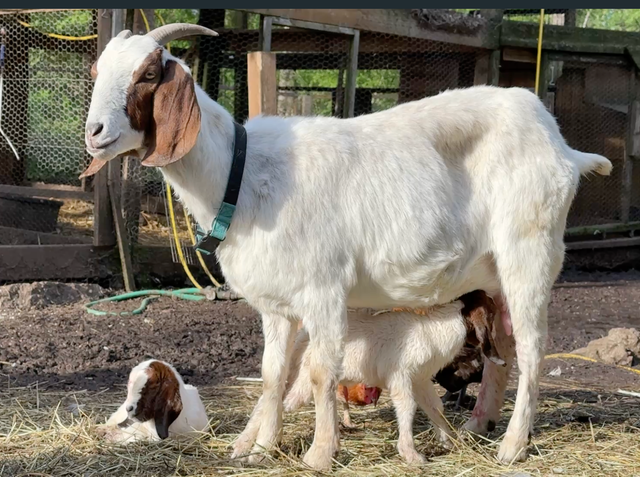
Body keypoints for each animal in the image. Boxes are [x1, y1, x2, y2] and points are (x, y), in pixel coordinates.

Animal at [81, 24, 612, 470]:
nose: (95, 133)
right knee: (501, 349)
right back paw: (479, 426)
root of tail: (565, 149)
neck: (242, 174)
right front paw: (260, 449)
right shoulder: (276, 304)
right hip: (492, 272)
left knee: (533, 348)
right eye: (97, 72)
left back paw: (512, 446)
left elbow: (320, 373)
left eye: (149, 74)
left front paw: (319, 453)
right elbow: (273, 374)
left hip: (530, 250)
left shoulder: (324, 290)